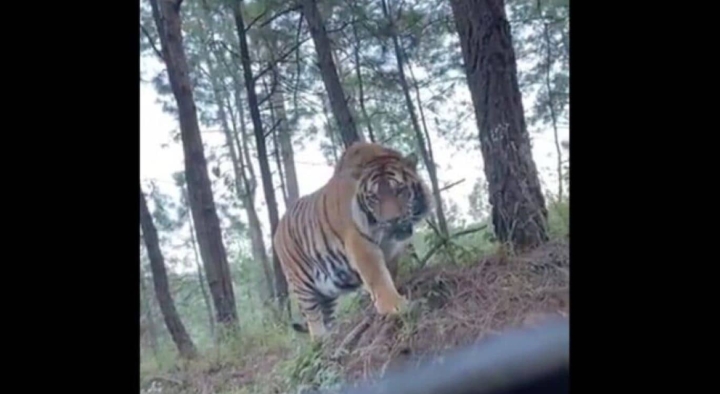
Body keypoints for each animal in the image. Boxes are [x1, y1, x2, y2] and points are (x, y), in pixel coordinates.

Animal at [272, 142, 434, 342]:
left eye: (400, 191)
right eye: (374, 197)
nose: (393, 220)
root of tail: (277, 230)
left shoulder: (392, 251)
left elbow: (389, 273)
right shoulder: (360, 244)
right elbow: (378, 277)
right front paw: (395, 306)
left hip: (327, 292)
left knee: (326, 314)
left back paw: (332, 335)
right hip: (301, 283)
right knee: (313, 316)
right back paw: (320, 340)